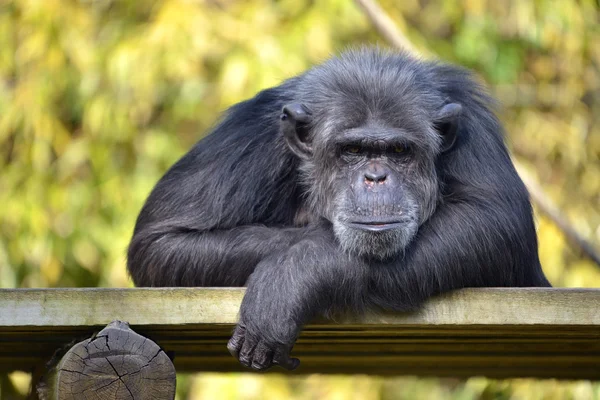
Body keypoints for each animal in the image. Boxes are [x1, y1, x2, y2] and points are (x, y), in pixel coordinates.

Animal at [129, 47, 552, 372]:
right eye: (352, 150)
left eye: (399, 150)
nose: (376, 177)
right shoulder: (249, 134)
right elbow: (162, 240)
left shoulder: (472, 124)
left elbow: (494, 216)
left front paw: (298, 272)